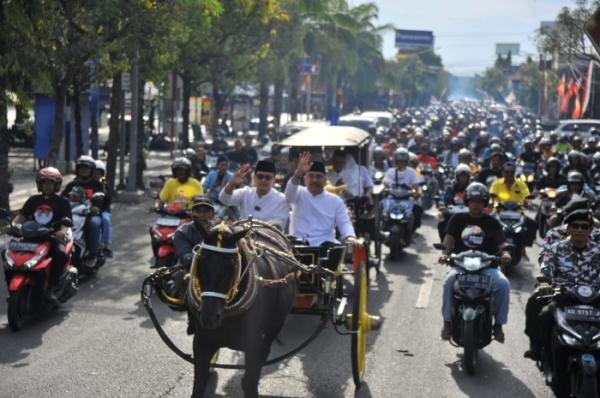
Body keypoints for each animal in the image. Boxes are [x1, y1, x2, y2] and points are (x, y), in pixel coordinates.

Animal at [185, 221, 298, 398]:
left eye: (231, 266)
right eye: (200, 262)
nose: (209, 317)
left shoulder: (255, 344)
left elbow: (249, 382)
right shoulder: (202, 341)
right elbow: (199, 382)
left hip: (276, 325)